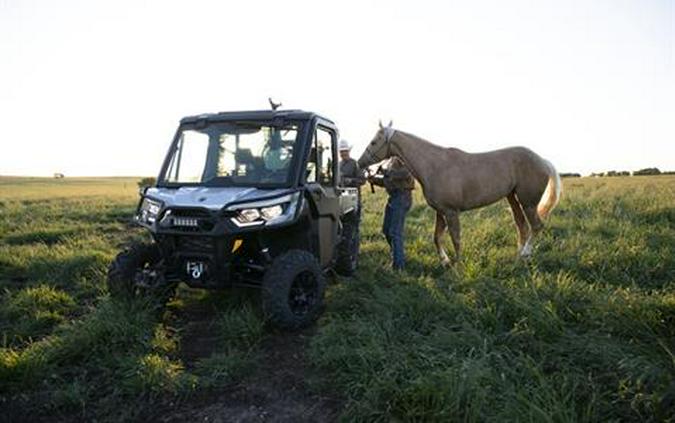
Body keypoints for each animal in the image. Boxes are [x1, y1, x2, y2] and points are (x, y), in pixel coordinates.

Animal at [356, 120, 564, 264]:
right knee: (522, 226)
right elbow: (437, 237)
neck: (434, 165)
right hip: (513, 198)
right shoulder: (440, 211)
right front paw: (445, 261)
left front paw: (458, 264)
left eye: (374, 142)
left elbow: (455, 238)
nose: (359, 163)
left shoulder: (451, 211)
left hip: (528, 203)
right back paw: (520, 256)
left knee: (536, 226)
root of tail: (543, 160)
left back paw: (526, 254)